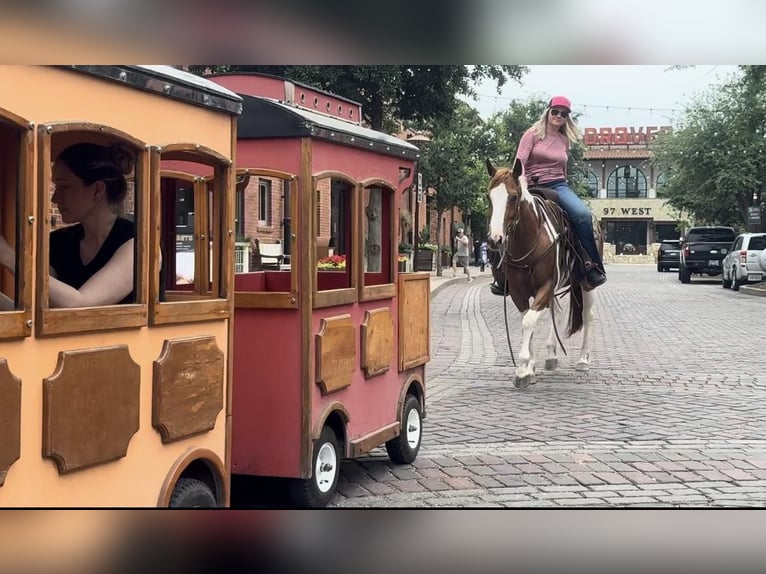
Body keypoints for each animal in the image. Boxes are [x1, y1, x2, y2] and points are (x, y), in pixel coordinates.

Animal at [488, 160, 596, 390]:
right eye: (488, 196)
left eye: (513, 197)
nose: (495, 239)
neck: (529, 239)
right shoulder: (518, 292)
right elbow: (526, 320)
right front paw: (530, 366)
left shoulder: (545, 286)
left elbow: (529, 321)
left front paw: (522, 370)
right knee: (558, 313)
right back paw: (551, 354)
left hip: (586, 285)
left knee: (586, 316)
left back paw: (583, 359)